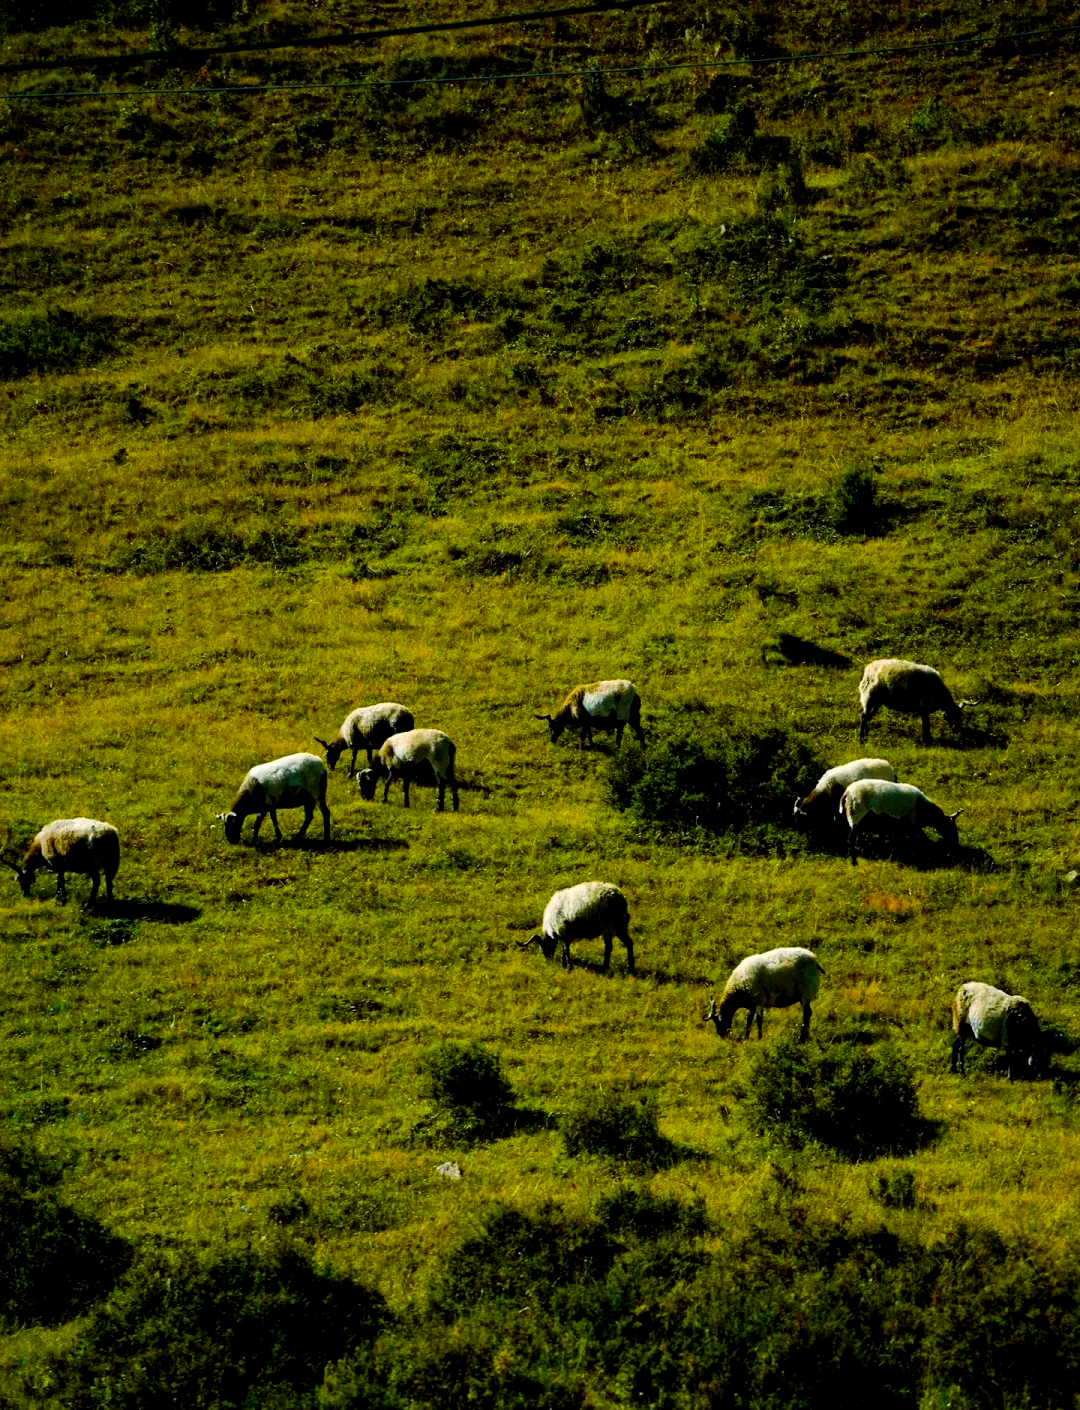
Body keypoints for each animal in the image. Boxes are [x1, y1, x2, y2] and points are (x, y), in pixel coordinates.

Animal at [834, 778, 964, 862]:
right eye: (950, 827)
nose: (956, 843)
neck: (925, 811)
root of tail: (847, 793)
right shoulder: (912, 824)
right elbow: (924, 840)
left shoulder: (900, 826)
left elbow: (896, 840)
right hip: (856, 814)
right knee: (851, 838)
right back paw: (854, 860)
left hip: (854, 817)